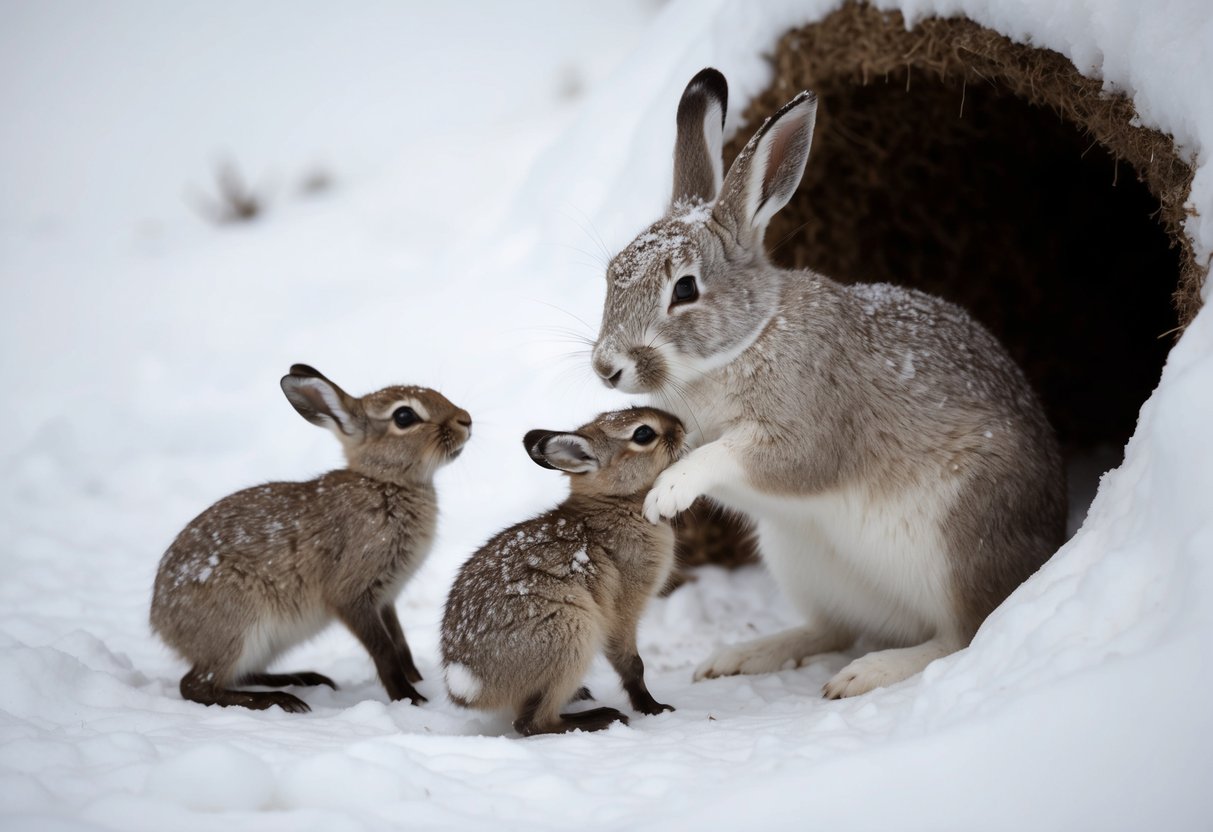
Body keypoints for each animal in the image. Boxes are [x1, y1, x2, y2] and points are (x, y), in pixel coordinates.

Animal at [150, 364, 471, 713]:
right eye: (404, 417)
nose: (465, 420)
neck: (384, 482)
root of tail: (160, 621)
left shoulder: (386, 598)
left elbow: (400, 643)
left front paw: (417, 680)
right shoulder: (352, 594)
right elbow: (383, 649)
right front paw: (409, 698)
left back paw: (304, 679)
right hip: (238, 625)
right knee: (196, 685)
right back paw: (281, 700)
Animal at [440, 407, 685, 736]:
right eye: (643, 433)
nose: (681, 427)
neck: (615, 504)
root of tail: (466, 684)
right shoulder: (623, 610)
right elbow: (633, 664)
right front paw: (654, 708)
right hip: (572, 634)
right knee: (532, 723)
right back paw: (601, 717)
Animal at [589, 68, 1066, 699]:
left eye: (684, 290)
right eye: (612, 274)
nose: (606, 367)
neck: (748, 338)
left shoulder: (809, 428)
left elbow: (742, 454)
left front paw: (668, 491)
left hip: (960, 544)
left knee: (960, 635)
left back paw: (867, 673)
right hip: (799, 559)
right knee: (832, 628)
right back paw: (741, 656)